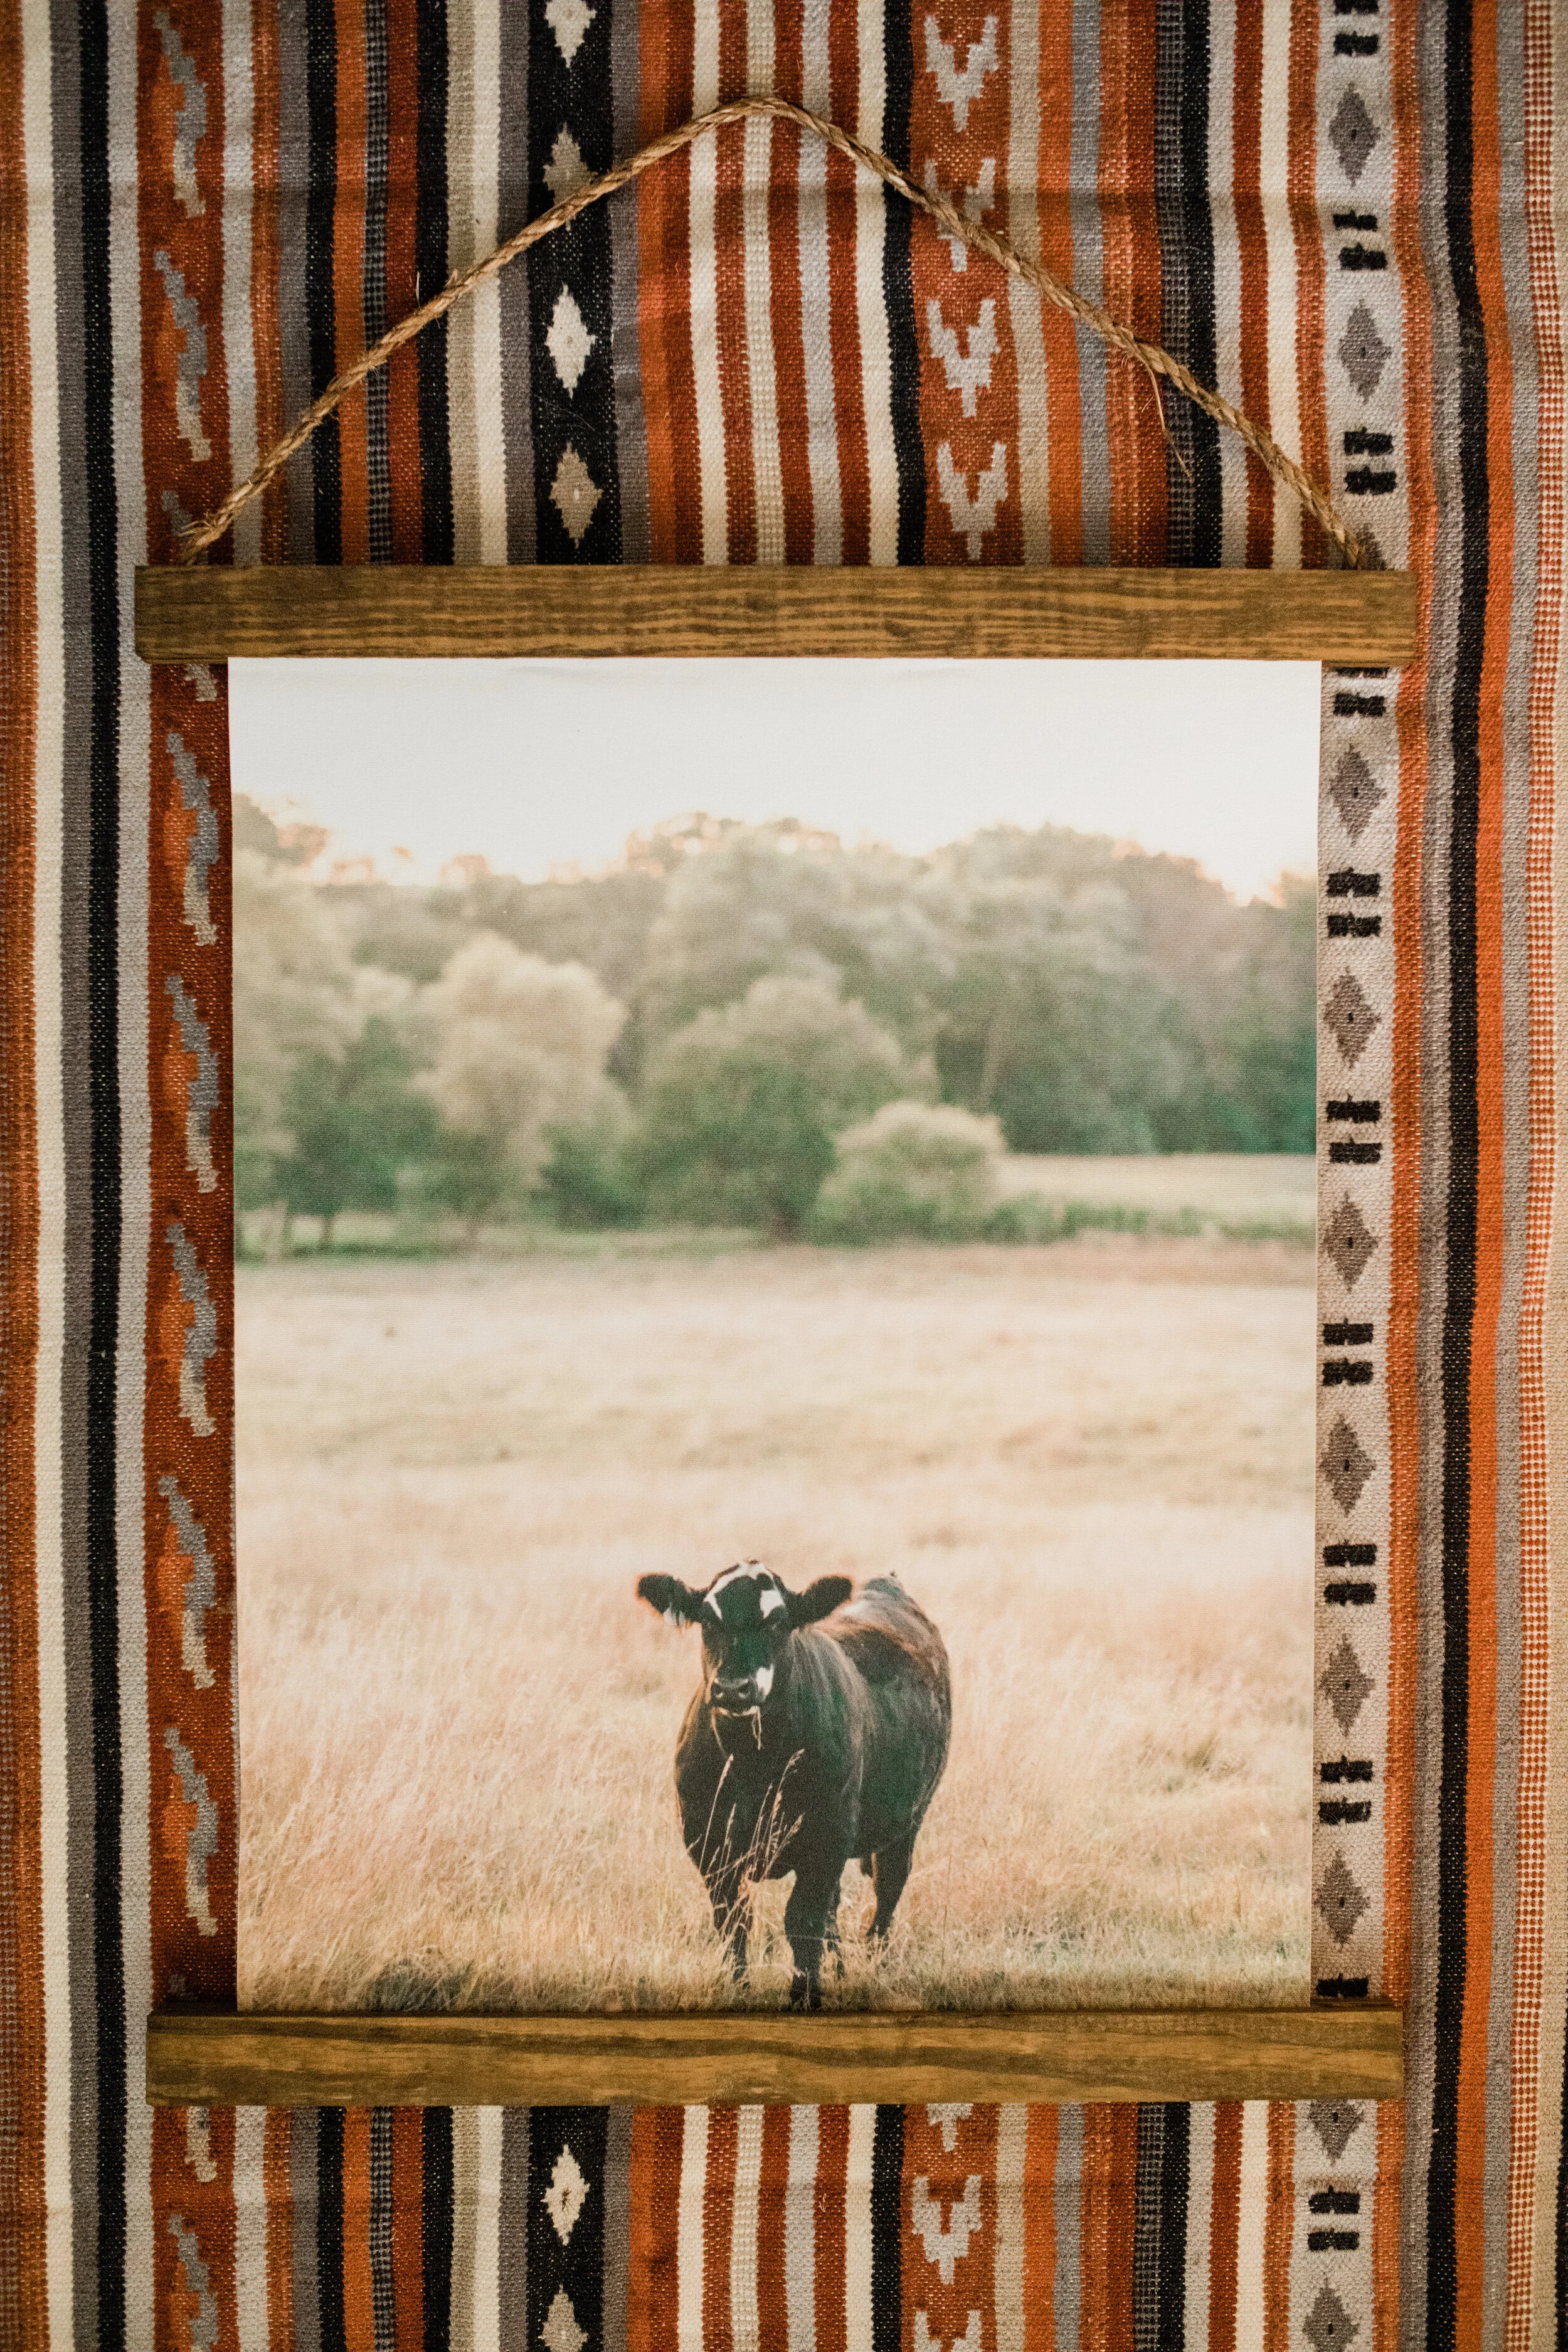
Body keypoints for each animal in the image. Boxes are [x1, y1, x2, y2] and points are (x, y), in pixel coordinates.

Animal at [636, 1560, 951, 2009]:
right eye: (708, 1619)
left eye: (778, 1621)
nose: (734, 1689)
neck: (755, 1765)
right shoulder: (708, 1842)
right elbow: (734, 1921)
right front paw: (738, 1989)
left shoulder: (826, 1838)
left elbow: (802, 1923)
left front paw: (805, 1996)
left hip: (906, 1824)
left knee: (886, 1895)